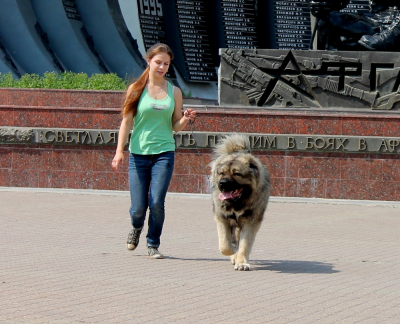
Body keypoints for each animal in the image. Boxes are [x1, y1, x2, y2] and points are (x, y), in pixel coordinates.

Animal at [209, 134, 272, 270]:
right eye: (221, 173)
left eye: (237, 173)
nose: (222, 183)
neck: (238, 202)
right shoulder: (222, 218)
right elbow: (225, 245)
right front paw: (233, 252)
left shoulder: (250, 221)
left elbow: (244, 244)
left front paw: (242, 262)